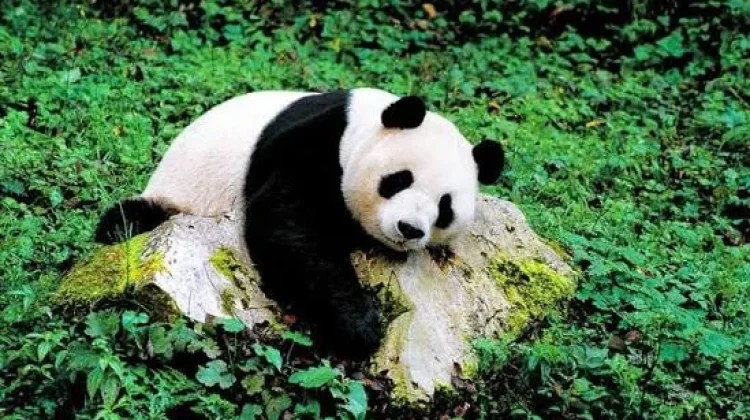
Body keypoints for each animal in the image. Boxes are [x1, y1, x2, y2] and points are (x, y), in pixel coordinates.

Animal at [95, 88, 505, 359]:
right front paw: (360, 326)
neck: (361, 125)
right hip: (176, 197)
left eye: (445, 207)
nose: (409, 229)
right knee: (126, 220)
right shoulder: (315, 142)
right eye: (399, 179)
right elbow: (287, 227)